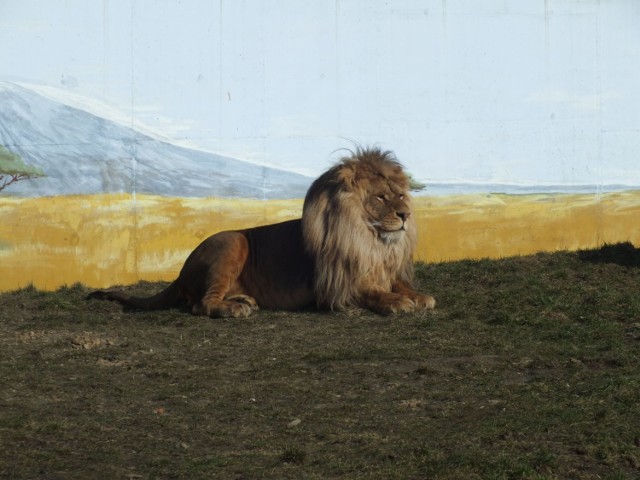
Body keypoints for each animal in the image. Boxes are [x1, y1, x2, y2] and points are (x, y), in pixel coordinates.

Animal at [89, 146, 436, 318]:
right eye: (379, 198)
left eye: (400, 195)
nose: (405, 215)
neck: (371, 242)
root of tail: (179, 275)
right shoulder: (334, 288)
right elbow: (370, 292)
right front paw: (395, 302)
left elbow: (401, 286)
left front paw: (418, 295)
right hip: (233, 240)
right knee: (202, 305)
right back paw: (233, 308)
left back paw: (244, 299)